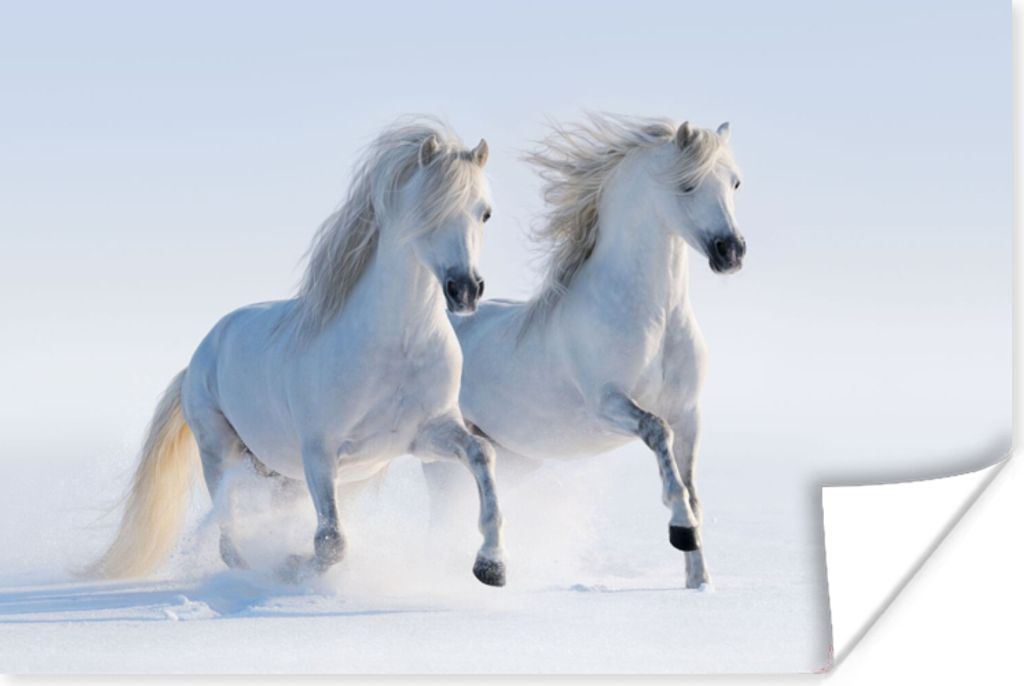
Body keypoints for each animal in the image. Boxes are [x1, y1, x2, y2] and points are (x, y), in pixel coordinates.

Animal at [89, 118, 508, 587]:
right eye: (428, 210)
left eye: (485, 212)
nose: (465, 290)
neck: (396, 347)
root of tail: (198, 358)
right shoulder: (319, 452)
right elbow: (331, 542)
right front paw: (292, 567)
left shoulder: (426, 434)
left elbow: (482, 454)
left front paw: (491, 565)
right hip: (220, 452)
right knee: (228, 537)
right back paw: (253, 570)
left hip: (279, 474)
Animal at [424, 115, 745, 589]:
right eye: (687, 185)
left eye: (735, 182)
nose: (731, 252)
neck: (656, 319)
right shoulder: (608, 404)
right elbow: (658, 435)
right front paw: (681, 531)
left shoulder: (689, 412)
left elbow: (692, 488)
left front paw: (699, 582)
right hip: (441, 454)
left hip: (515, 457)